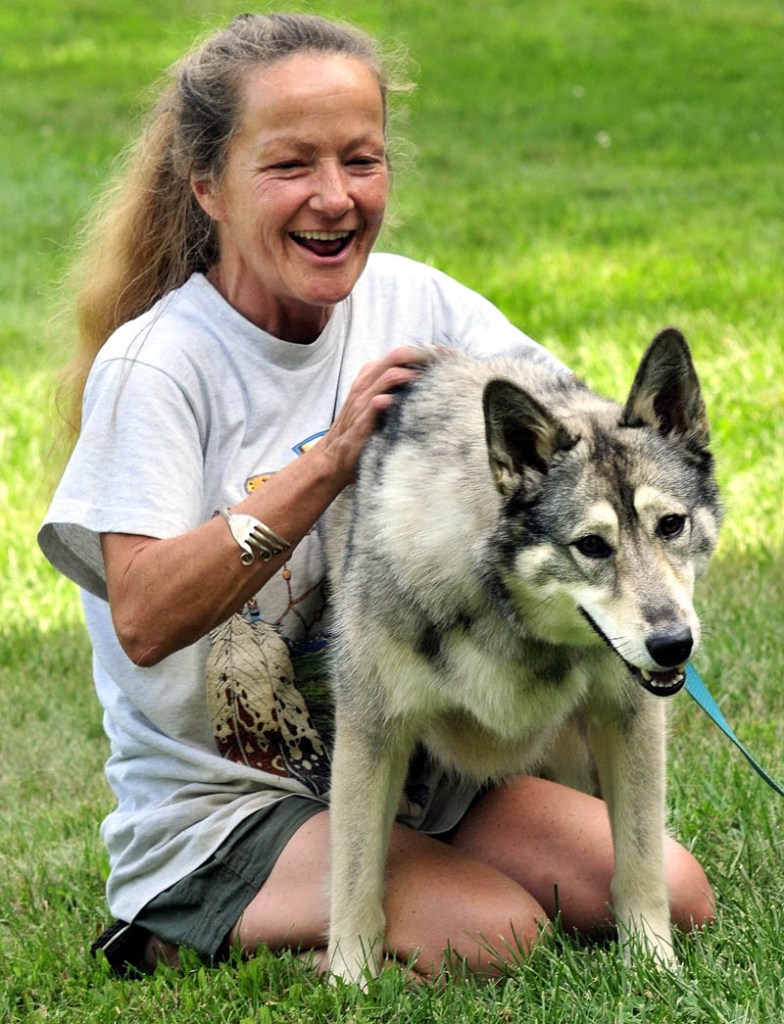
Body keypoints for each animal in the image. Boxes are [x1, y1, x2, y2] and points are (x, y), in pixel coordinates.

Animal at [324, 327, 721, 984]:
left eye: (671, 525)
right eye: (591, 545)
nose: (672, 644)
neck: (503, 613)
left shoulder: (628, 719)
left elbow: (641, 863)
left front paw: (654, 968)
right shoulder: (371, 731)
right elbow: (355, 880)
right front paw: (348, 984)